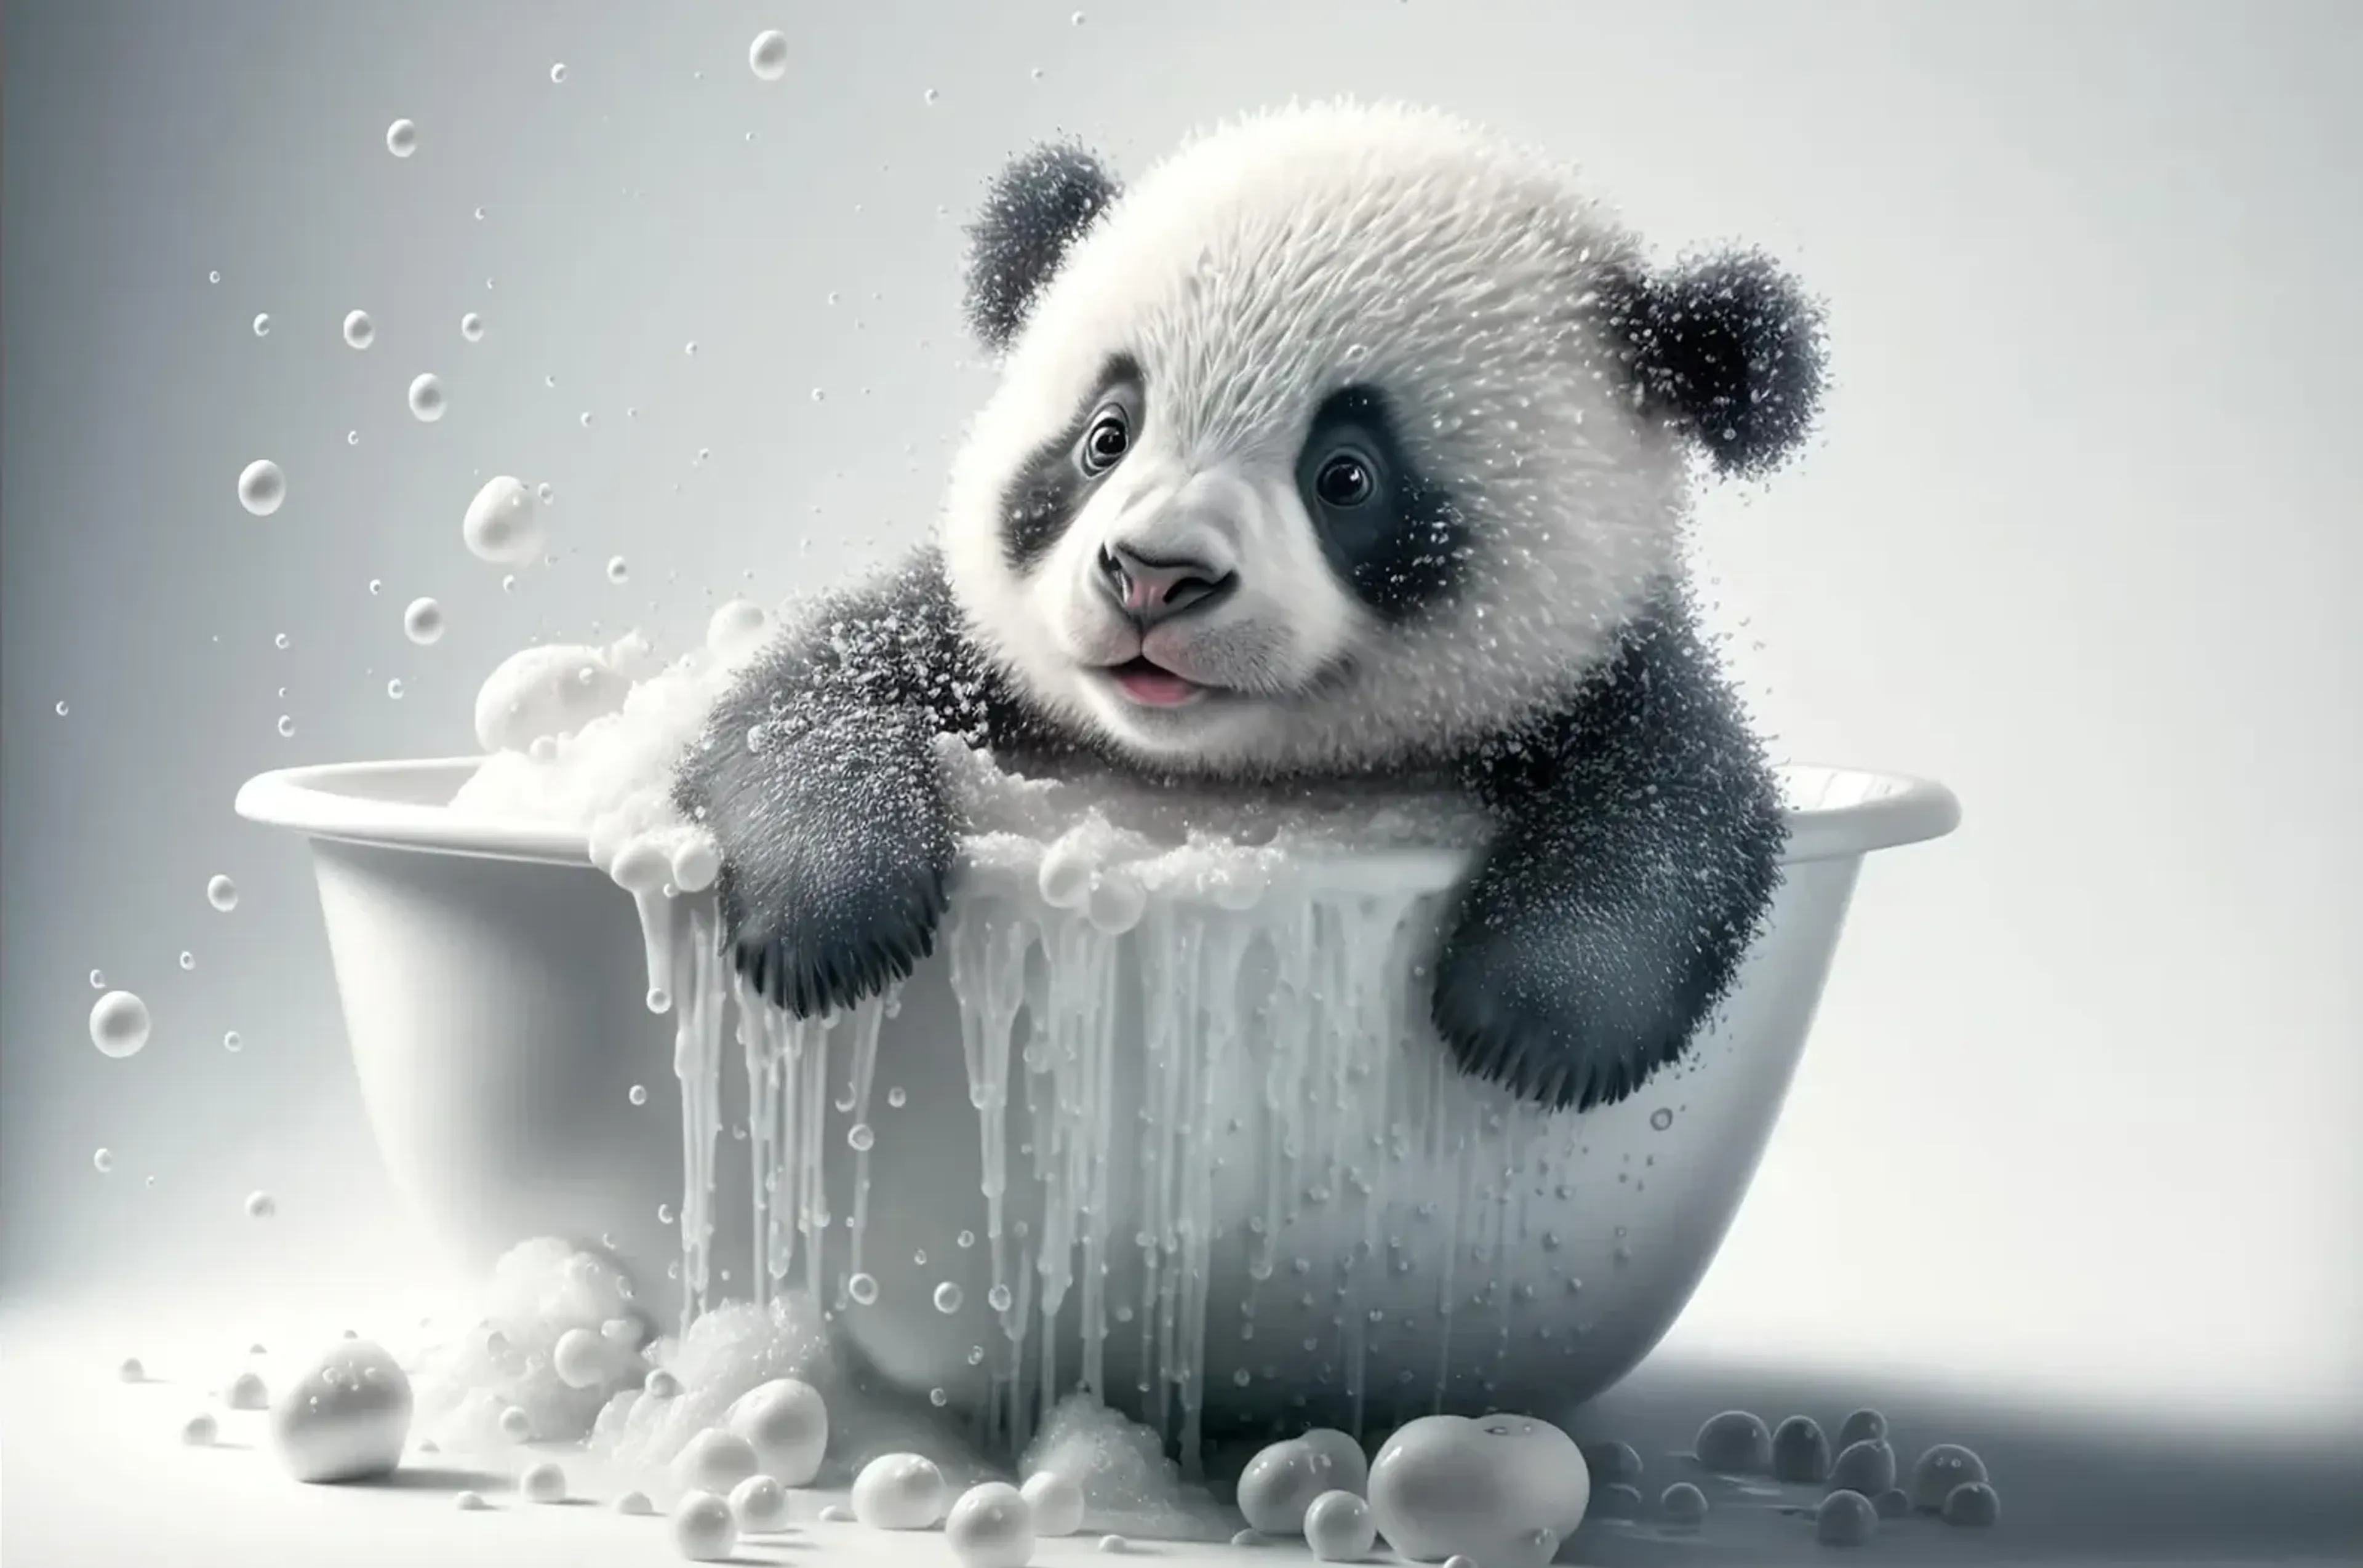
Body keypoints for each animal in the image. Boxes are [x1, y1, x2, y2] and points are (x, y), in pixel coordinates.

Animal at [674, 100, 1825, 1114]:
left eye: (1348, 476)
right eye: (1105, 436)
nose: (1152, 575)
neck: (1214, 770)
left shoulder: (1600, 667)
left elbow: (1677, 803)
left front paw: (1535, 1023)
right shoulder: (968, 643)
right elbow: (802, 694)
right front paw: (830, 918)